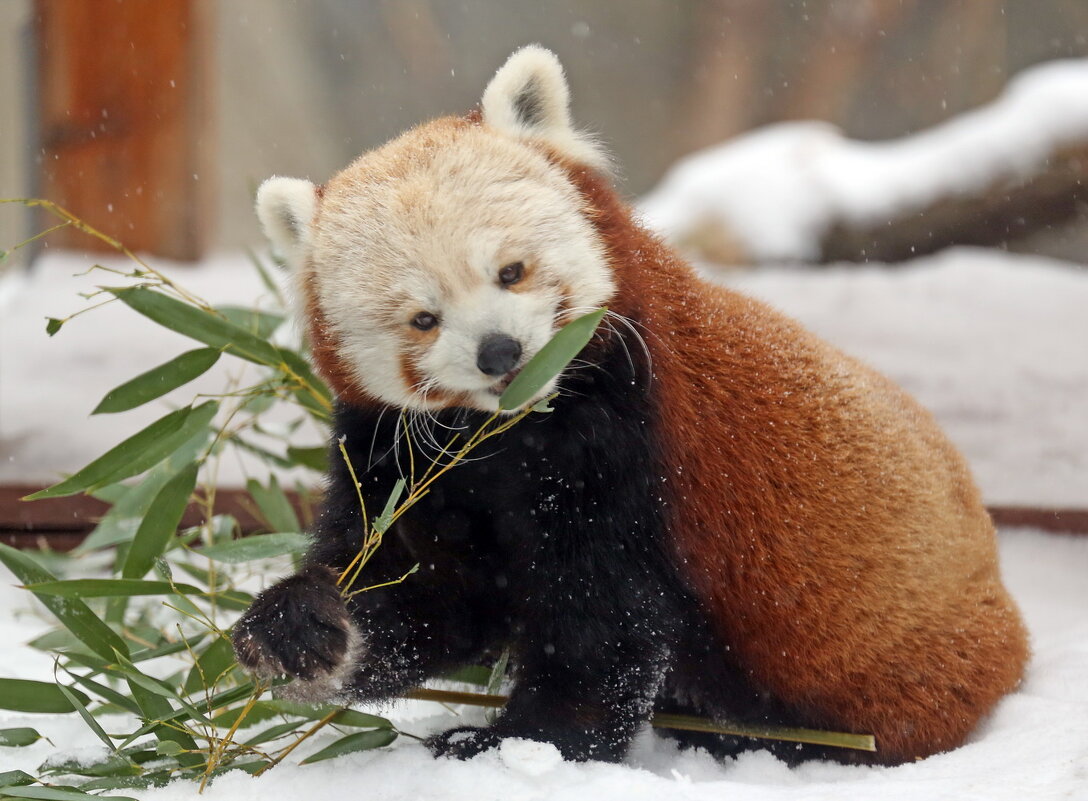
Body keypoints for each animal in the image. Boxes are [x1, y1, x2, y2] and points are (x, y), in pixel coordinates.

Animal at [236, 42, 1027, 761]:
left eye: (511, 272)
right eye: (422, 318)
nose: (501, 352)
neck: (513, 430)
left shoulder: (633, 434)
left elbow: (601, 620)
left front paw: (518, 743)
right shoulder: (404, 452)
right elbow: (430, 585)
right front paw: (301, 626)